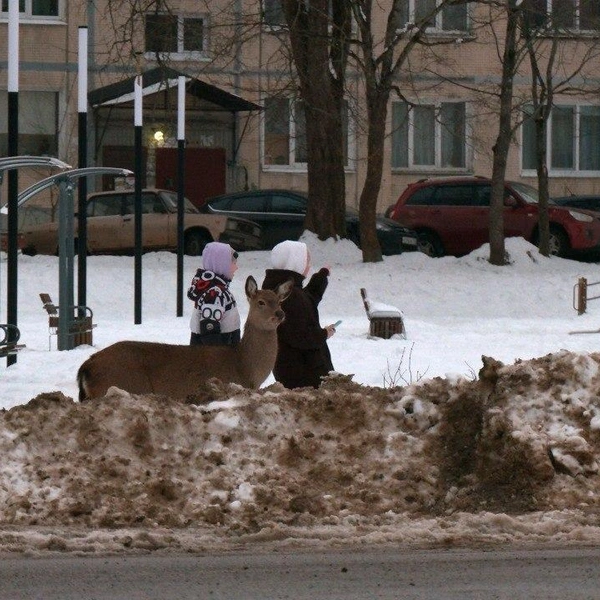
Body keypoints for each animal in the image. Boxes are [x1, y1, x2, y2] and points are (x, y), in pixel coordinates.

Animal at [77, 276, 292, 404]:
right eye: (261, 302)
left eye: (279, 301)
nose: (280, 314)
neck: (245, 366)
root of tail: (86, 368)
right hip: (121, 384)